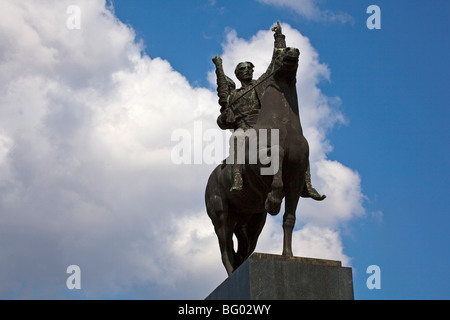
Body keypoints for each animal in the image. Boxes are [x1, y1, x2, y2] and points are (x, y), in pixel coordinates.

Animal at [204, 46, 324, 276]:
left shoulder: (296, 183)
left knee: (243, 251)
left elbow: (289, 220)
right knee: (226, 252)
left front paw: (288, 255)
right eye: (281, 53)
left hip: (252, 222)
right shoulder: (259, 164)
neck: (284, 125)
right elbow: (276, 156)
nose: (293, 51)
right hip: (222, 219)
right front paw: (274, 199)